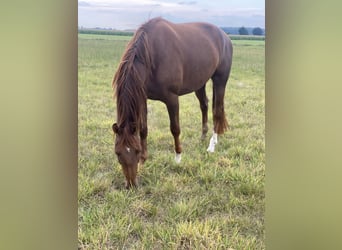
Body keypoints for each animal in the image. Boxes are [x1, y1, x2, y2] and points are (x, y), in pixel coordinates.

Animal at [112, 17, 232, 188]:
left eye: (135, 150)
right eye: (118, 152)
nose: (131, 185)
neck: (151, 54)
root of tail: (225, 36)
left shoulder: (172, 99)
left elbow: (175, 129)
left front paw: (178, 157)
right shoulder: (143, 98)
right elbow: (143, 129)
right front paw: (144, 159)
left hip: (220, 80)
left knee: (217, 110)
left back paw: (212, 144)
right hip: (199, 83)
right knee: (204, 105)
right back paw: (203, 136)